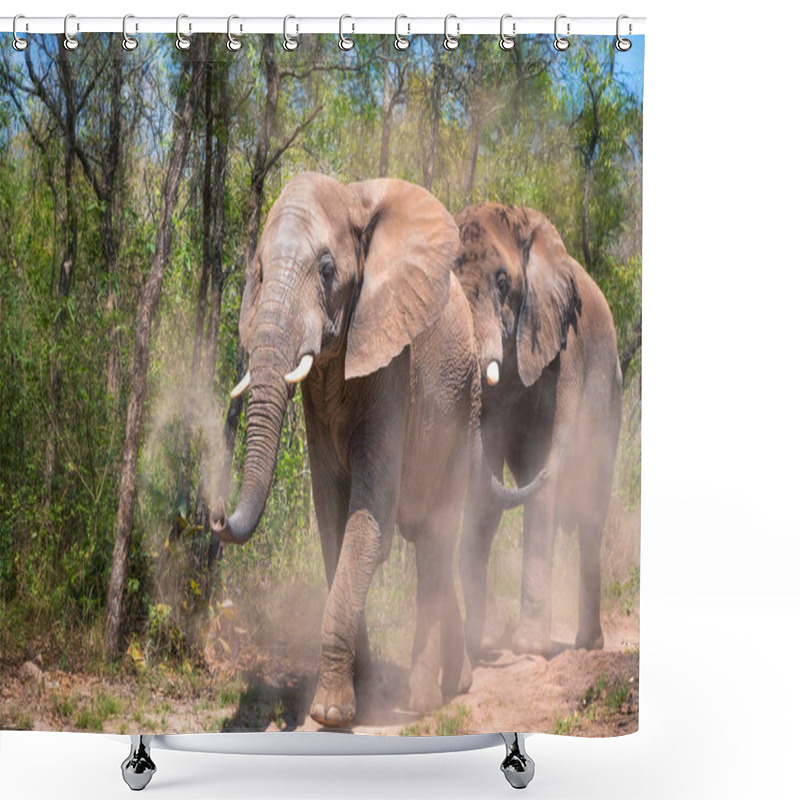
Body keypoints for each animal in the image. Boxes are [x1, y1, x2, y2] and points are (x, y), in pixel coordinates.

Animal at [208, 175, 544, 732]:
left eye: (327, 271)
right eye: (256, 271)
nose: (213, 514)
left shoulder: (393, 367)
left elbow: (366, 524)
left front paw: (329, 714)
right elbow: (333, 523)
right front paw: (355, 702)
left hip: (460, 416)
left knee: (436, 543)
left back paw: (427, 698)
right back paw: (459, 684)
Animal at [454, 203, 620, 660]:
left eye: (503, 282)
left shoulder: (562, 356)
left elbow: (542, 488)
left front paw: (528, 648)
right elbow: (484, 487)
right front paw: (486, 643)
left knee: (592, 518)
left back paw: (587, 645)